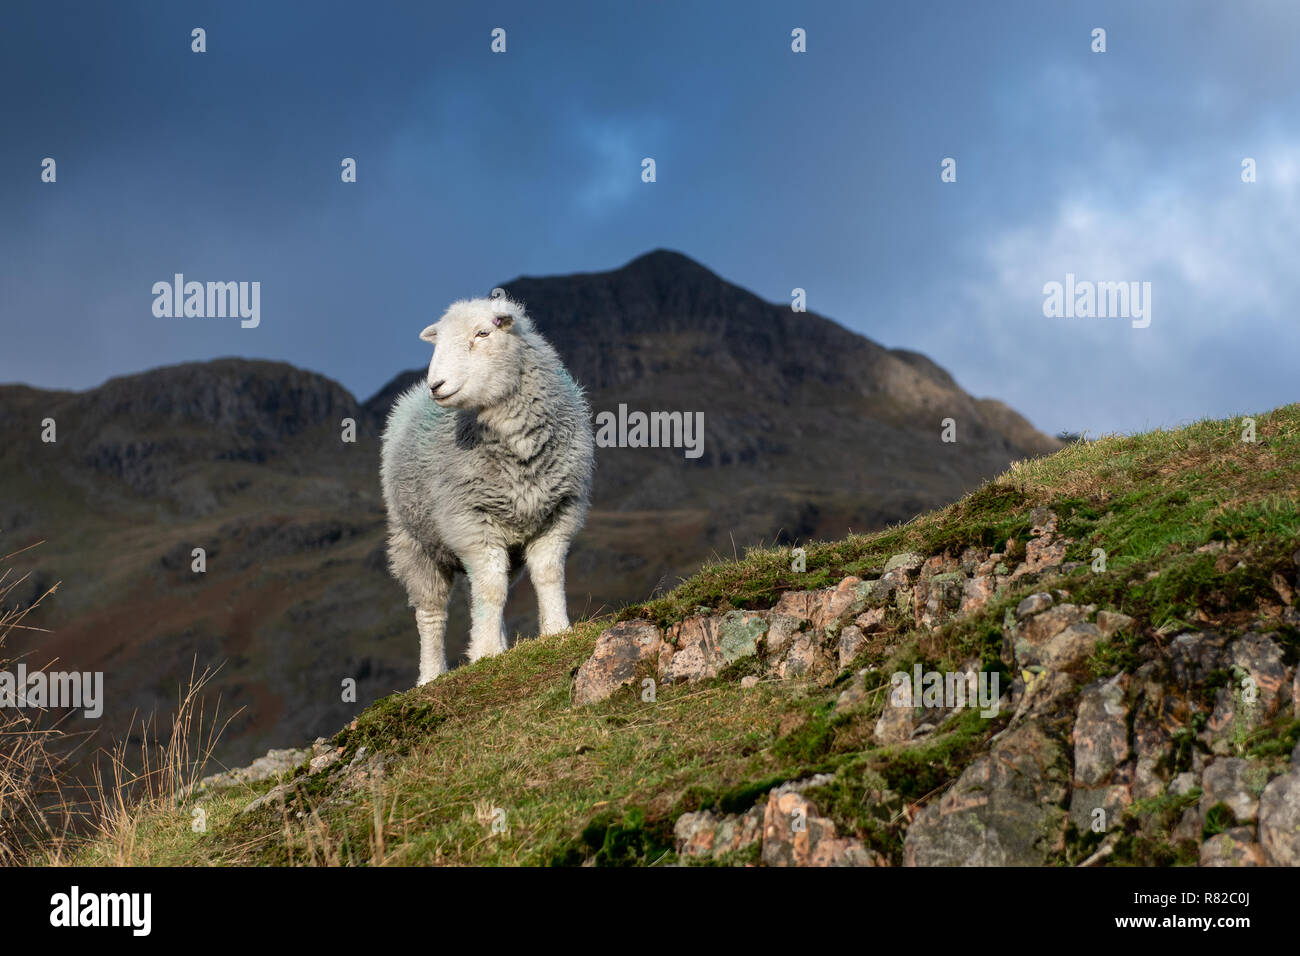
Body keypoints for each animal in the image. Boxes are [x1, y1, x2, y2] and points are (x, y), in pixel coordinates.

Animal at [379, 295, 595, 686]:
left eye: (483, 333)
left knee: (480, 591)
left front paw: (557, 631)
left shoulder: (558, 512)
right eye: (438, 342)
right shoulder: (471, 522)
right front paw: (485, 652)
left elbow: (547, 574)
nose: (436, 384)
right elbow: (491, 590)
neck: (519, 450)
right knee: (432, 611)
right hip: (414, 541)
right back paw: (431, 674)